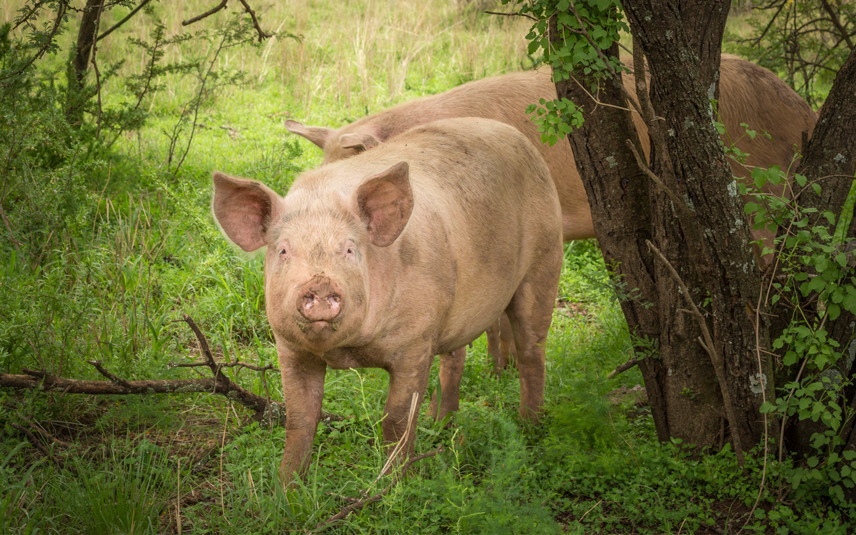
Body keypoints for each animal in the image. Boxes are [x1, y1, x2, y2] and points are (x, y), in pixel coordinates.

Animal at [211, 118, 564, 486]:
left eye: (349, 249)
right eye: (283, 250)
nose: (320, 283)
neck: (350, 352)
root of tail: (512, 134)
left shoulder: (416, 342)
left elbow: (396, 420)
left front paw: (392, 485)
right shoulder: (290, 347)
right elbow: (299, 420)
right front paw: (287, 488)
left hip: (546, 258)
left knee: (532, 349)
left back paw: (529, 428)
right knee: (455, 358)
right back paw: (441, 424)